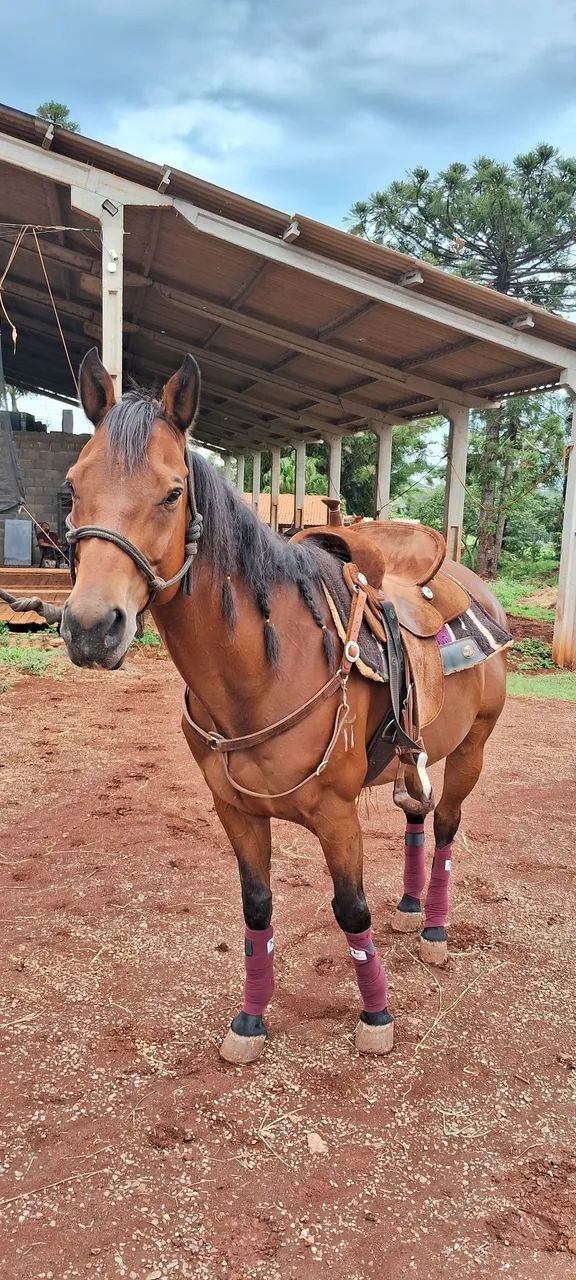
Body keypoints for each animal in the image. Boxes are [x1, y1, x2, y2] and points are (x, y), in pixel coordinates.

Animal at [53, 349, 508, 1065]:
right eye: (72, 489)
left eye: (173, 493)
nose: (92, 628)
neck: (264, 671)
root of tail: (472, 585)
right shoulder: (235, 811)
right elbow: (257, 908)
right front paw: (251, 1019)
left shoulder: (336, 813)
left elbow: (351, 910)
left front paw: (376, 1016)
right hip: (414, 756)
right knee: (417, 812)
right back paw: (410, 906)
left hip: (472, 748)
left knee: (445, 826)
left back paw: (433, 929)